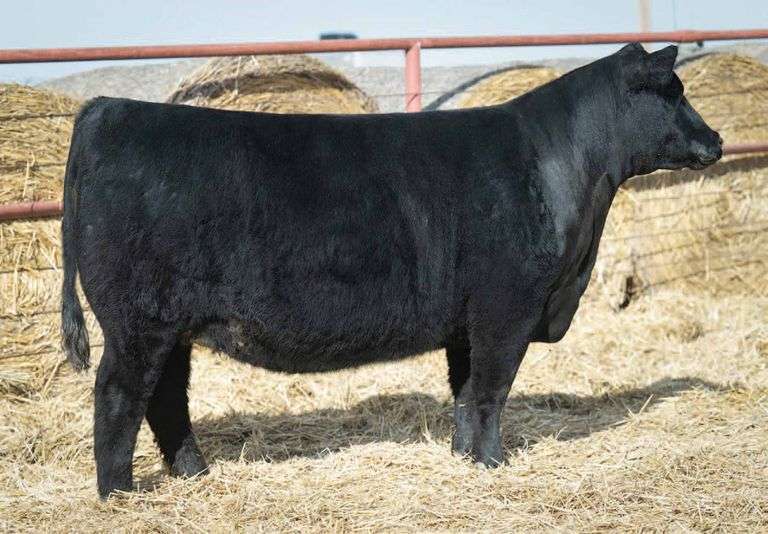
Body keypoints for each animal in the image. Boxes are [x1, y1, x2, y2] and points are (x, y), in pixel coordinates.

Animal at [60, 43, 722, 498]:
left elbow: (465, 392)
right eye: (673, 91)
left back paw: (196, 476)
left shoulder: (466, 320)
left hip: (169, 327)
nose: (716, 140)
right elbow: (492, 390)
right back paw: (119, 494)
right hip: (138, 321)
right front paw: (494, 463)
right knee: (119, 395)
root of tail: (105, 111)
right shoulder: (506, 307)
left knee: (165, 399)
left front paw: (465, 458)